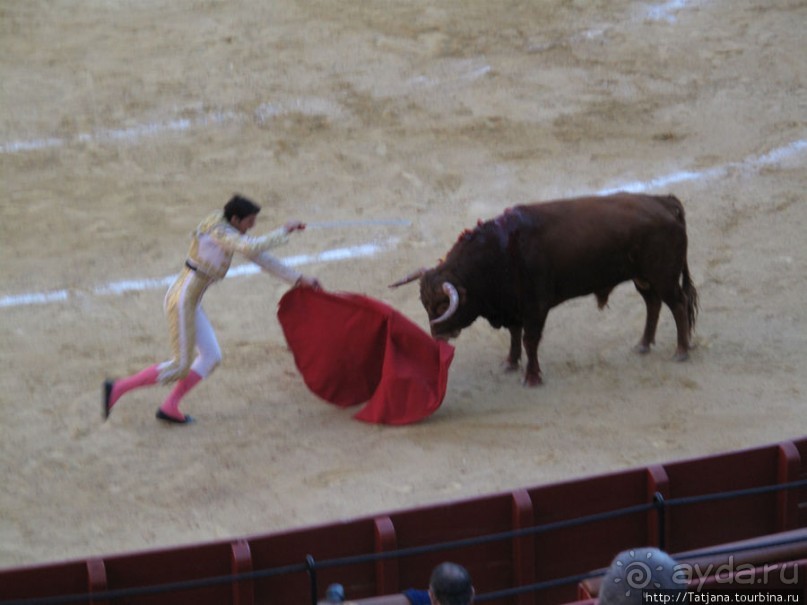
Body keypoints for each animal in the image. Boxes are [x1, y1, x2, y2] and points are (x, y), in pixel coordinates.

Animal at [388, 191, 696, 384]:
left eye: (443, 305)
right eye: (425, 304)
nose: (437, 336)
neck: (500, 253)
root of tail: (664, 202)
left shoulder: (536, 306)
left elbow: (530, 340)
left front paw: (532, 377)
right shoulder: (513, 306)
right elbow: (515, 335)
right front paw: (510, 363)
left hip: (664, 277)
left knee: (678, 305)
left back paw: (681, 351)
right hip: (643, 277)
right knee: (653, 303)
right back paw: (643, 345)